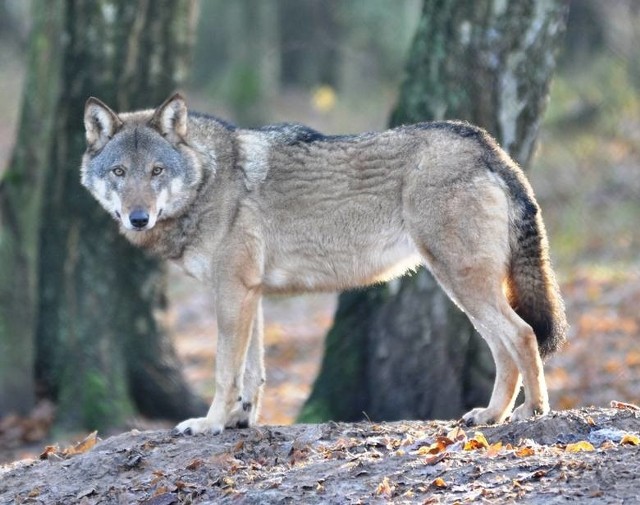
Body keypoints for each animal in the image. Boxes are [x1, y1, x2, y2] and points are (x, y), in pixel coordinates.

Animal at [81, 93, 568, 434]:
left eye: (157, 172)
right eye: (120, 172)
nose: (138, 218)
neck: (209, 179)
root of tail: (487, 145)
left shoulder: (233, 291)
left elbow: (224, 371)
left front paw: (209, 423)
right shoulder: (250, 293)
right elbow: (252, 373)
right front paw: (240, 422)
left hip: (462, 281)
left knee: (523, 335)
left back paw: (532, 411)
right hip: (462, 288)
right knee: (504, 348)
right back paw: (490, 416)